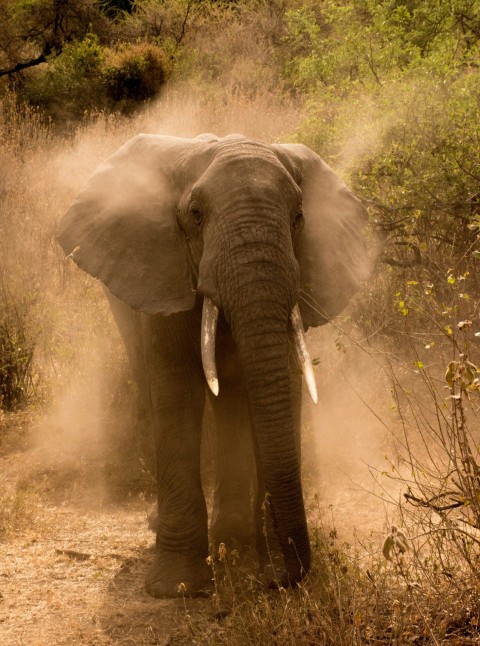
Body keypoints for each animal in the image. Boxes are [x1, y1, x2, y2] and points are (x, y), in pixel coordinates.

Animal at [57, 133, 369, 598]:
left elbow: (275, 385)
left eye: (298, 217)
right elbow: (175, 391)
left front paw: (250, 562)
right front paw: (177, 588)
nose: (277, 579)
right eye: (195, 215)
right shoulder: (163, 273)